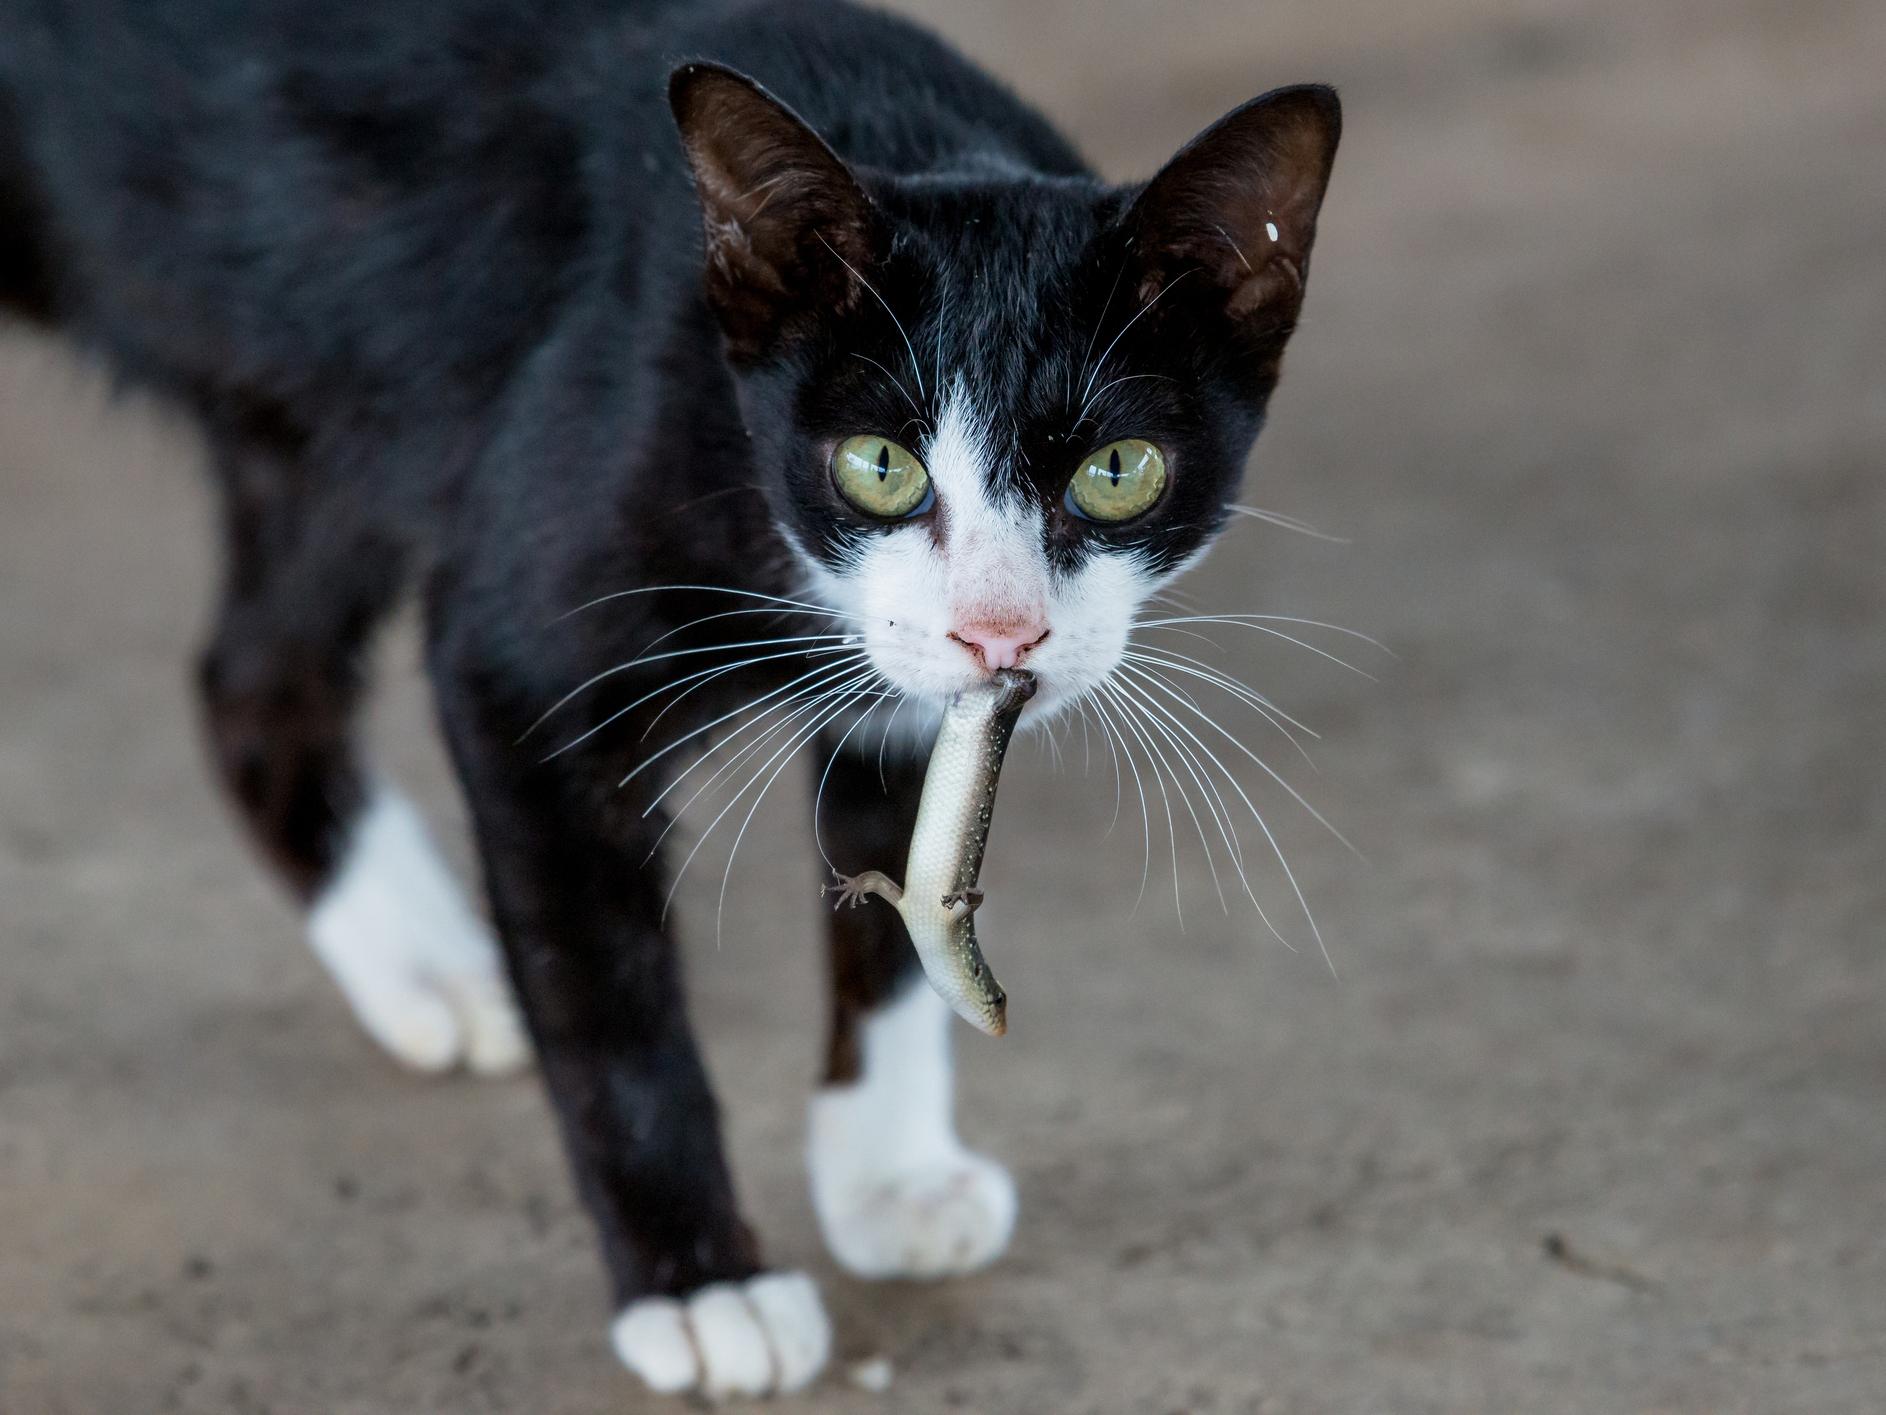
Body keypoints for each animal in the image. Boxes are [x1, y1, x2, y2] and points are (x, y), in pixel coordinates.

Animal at [0, 0, 1342, 1396]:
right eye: (877, 464)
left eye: (1117, 470)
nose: (997, 628)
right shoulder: (524, 658)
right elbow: (609, 996)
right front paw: (702, 1283)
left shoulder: (906, 694)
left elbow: (897, 899)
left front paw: (885, 1174)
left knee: (250, 679)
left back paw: (432, 966)